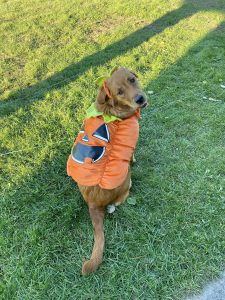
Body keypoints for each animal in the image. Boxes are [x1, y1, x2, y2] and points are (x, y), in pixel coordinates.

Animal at [67, 67, 148, 276]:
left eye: (132, 79)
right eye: (119, 92)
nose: (140, 98)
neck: (112, 110)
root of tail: (93, 203)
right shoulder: (130, 144)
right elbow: (132, 155)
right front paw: (135, 160)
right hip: (126, 178)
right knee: (118, 200)